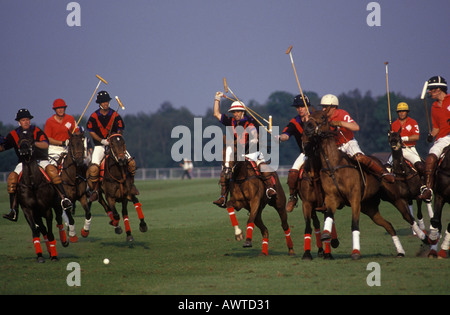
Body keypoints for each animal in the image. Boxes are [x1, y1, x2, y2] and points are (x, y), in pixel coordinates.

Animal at [302, 110, 432, 260]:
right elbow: (328, 214)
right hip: (370, 207)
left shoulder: (354, 198)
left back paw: (425, 238)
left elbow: (354, 225)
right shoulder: (331, 198)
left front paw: (356, 252)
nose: (307, 127)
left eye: (323, 117)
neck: (333, 166)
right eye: (310, 116)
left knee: (408, 217)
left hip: (395, 198)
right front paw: (326, 235)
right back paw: (400, 251)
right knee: (389, 225)